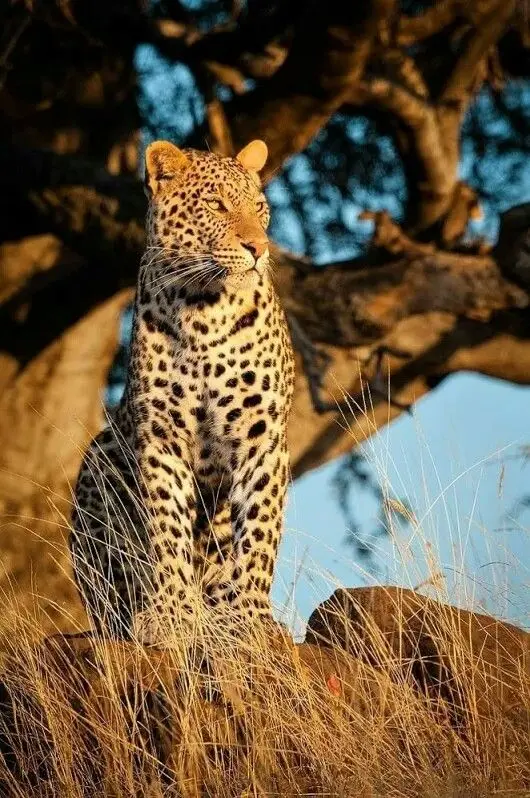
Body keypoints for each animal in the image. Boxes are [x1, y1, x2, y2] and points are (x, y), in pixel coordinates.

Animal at [70, 138, 295, 645]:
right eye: (217, 205)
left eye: (260, 209)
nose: (258, 248)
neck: (204, 308)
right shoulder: (162, 436)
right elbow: (167, 528)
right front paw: (171, 613)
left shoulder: (263, 438)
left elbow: (259, 529)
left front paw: (250, 617)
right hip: (101, 456)